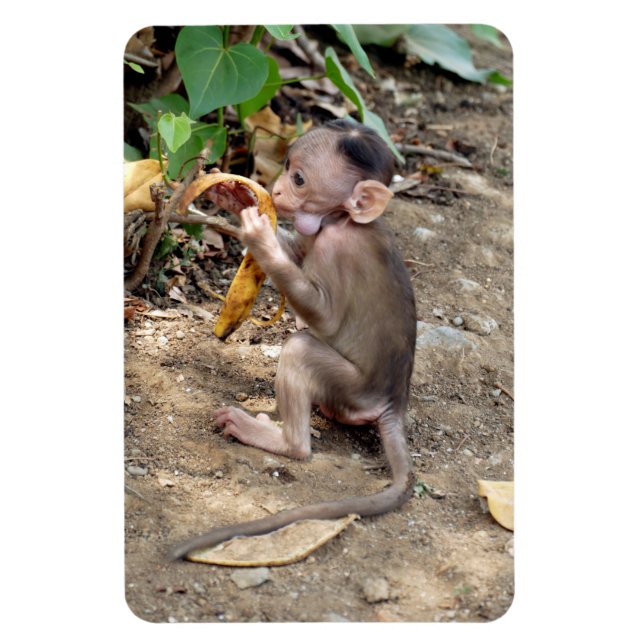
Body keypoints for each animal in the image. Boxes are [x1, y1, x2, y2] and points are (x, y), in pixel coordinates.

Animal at [170, 119, 417, 560]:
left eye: (299, 178)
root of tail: (393, 402)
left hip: (354, 391)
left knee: (301, 349)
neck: (342, 220)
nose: (278, 189)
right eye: (286, 168)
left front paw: (259, 238)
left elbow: (324, 316)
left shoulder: (337, 248)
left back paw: (282, 441)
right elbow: (298, 253)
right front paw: (233, 195)